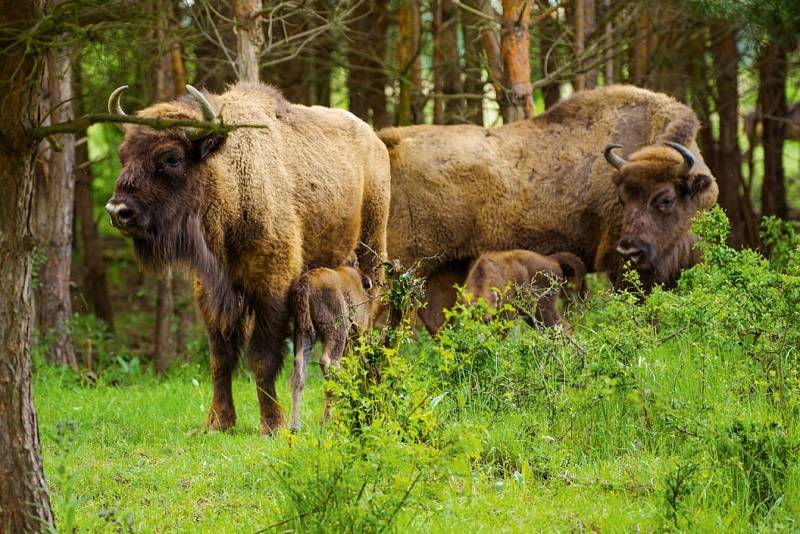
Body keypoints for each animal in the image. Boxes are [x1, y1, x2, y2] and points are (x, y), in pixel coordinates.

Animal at [290, 258, 374, 432]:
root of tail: (304, 285)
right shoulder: (359, 332)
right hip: (336, 329)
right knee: (328, 363)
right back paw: (326, 421)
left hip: (303, 332)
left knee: (299, 371)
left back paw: (294, 426)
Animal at [380, 85, 720, 332]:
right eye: (623, 198)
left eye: (665, 199)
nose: (630, 249)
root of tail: (392, 142)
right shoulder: (621, 269)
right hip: (403, 270)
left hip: (441, 270)